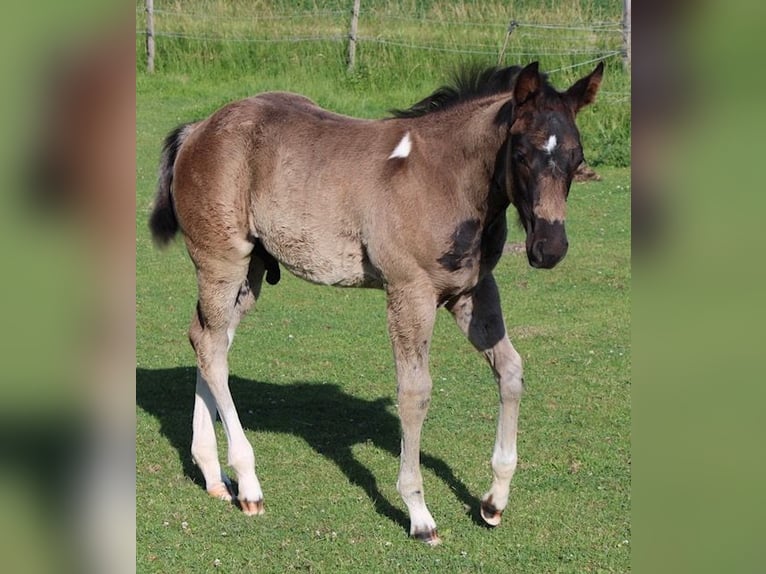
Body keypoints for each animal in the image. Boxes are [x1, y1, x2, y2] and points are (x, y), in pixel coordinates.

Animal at [148, 61, 603, 545]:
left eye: (576, 158)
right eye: (521, 153)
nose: (549, 248)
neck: (447, 177)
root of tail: (199, 129)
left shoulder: (472, 291)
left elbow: (511, 370)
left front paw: (494, 500)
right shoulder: (410, 292)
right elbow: (414, 393)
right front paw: (419, 514)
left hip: (251, 272)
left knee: (207, 339)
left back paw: (214, 475)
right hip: (222, 260)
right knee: (212, 346)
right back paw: (249, 483)